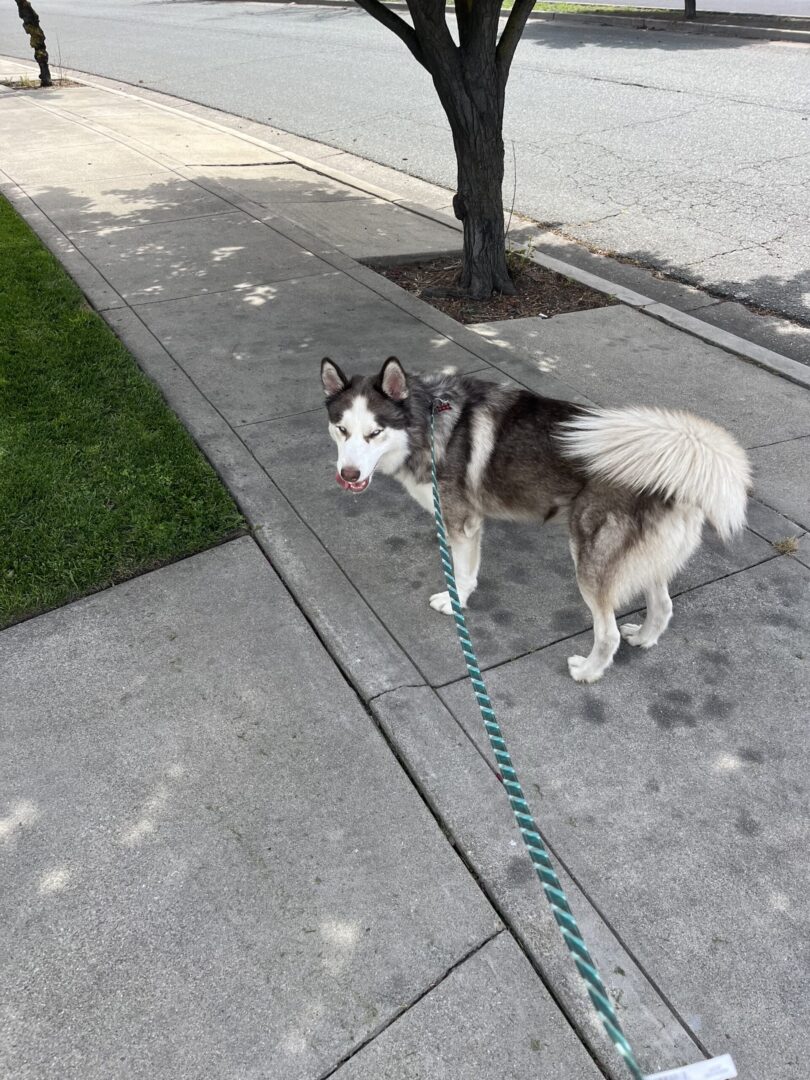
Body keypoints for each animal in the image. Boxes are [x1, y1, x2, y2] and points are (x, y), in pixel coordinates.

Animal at [319, 356, 751, 682]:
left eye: (375, 432)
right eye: (341, 430)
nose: (348, 475)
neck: (425, 421)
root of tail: (676, 460)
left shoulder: (463, 524)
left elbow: (462, 574)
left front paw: (454, 602)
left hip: (590, 560)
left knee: (608, 633)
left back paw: (588, 671)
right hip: (644, 560)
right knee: (662, 606)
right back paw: (644, 638)